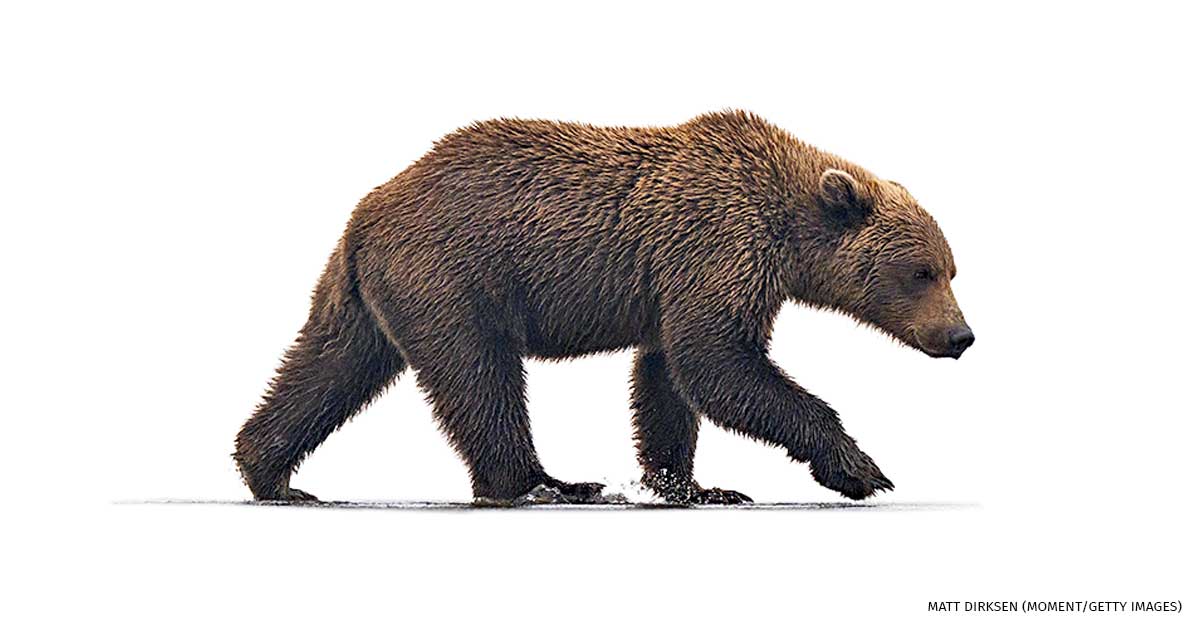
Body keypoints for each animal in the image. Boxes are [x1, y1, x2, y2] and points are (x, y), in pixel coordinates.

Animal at [233, 110, 974, 505]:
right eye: (922, 272)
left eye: (952, 269)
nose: (962, 335)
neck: (786, 225)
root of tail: (367, 210)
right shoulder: (715, 244)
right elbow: (717, 363)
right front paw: (861, 468)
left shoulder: (689, 278)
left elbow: (670, 380)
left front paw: (693, 484)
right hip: (455, 275)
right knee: (479, 377)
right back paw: (543, 482)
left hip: (367, 294)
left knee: (329, 366)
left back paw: (271, 471)